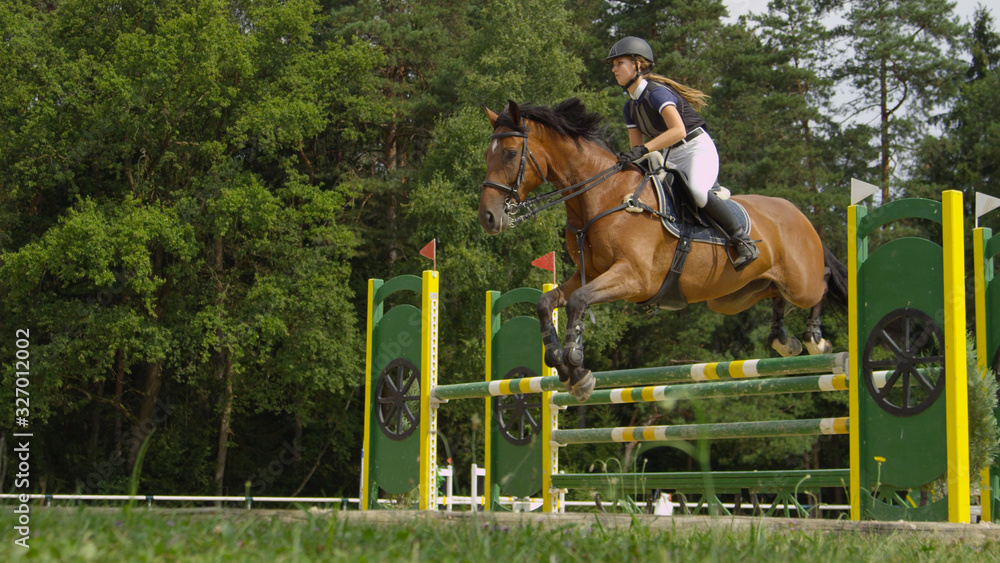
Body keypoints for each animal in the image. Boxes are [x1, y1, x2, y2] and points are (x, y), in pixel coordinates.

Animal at [480, 99, 848, 404]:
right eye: (487, 156)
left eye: (510, 153)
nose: (488, 217)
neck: (600, 195)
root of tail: (798, 213)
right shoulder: (593, 273)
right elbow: (546, 303)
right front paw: (567, 368)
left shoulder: (635, 278)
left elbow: (578, 302)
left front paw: (575, 364)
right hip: (734, 297)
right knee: (775, 295)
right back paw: (783, 339)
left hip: (800, 282)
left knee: (823, 281)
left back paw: (815, 339)